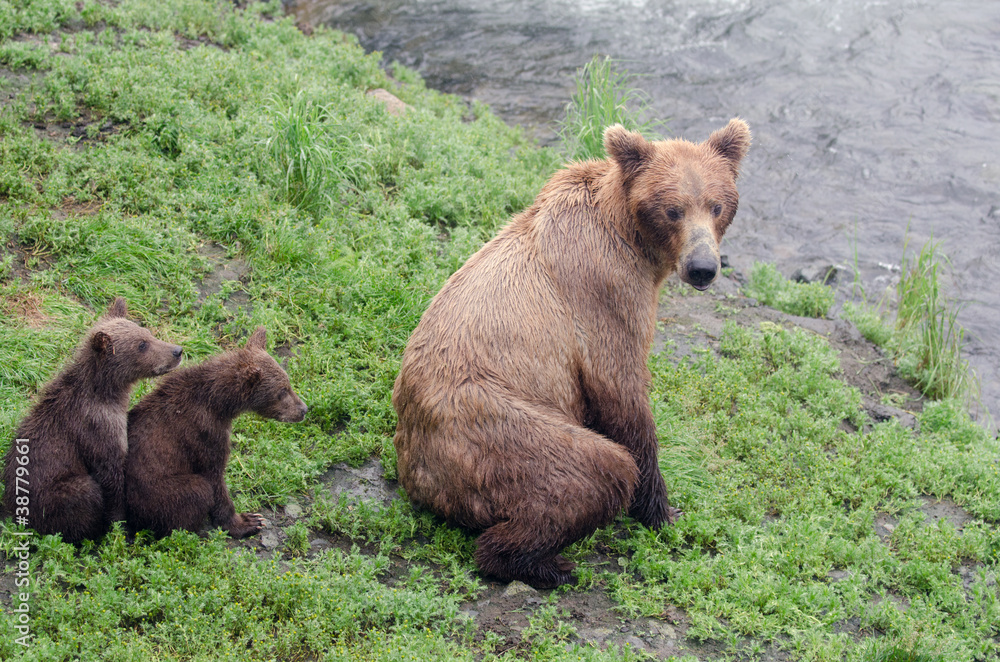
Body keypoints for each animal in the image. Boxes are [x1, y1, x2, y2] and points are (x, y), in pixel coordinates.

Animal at [2, 298, 183, 543]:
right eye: (141, 345)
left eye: (148, 333)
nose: (177, 351)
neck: (107, 394)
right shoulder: (96, 428)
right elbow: (111, 479)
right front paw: (121, 530)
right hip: (50, 494)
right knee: (83, 494)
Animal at [124, 326, 308, 539]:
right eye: (282, 391)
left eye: (288, 384)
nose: (303, 409)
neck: (219, 404)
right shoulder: (203, 433)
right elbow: (214, 478)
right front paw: (248, 521)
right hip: (153, 492)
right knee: (196, 490)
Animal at [392, 119, 751, 588]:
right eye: (673, 209)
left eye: (717, 205)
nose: (703, 268)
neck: (632, 237)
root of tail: (417, 476)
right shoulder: (605, 289)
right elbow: (621, 391)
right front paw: (663, 512)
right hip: (493, 429)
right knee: (593, 469)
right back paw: (547, 564)